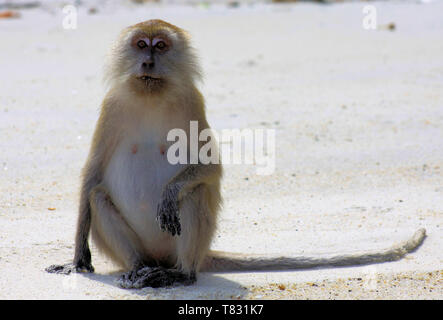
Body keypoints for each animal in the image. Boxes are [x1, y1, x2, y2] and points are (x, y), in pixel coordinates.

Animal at [45, 19, 426, 290]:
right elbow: (92, 176)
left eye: (160, 46)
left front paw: (170, 192)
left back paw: (181, 274)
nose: (148, 62)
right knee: (97, 196)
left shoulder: (192, 100)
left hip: (181, 247)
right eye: (141, 45)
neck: (151, 95)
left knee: (193, 194)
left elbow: (210, 168)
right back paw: (140, 269)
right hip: (145, 249)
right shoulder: (112, 106)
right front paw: (78, 259)